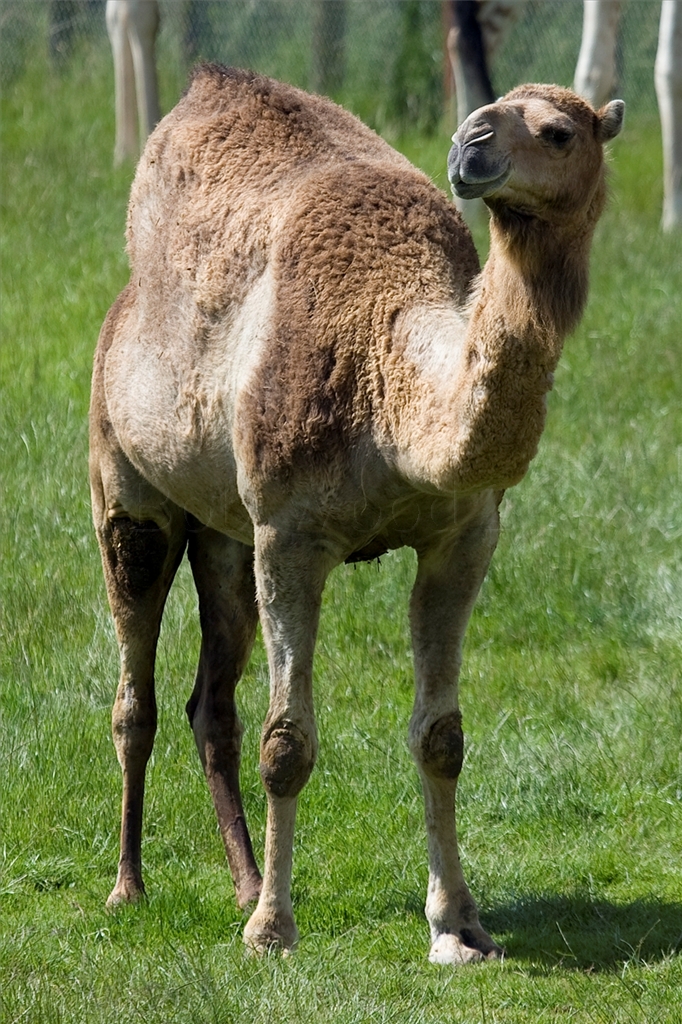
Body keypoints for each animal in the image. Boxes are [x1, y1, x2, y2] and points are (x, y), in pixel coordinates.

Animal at [90, 63, 623, 963]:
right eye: (490, 111)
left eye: (560, 131)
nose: (470, 143)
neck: (390, 384)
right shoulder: (290, 535)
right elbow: (287, 743)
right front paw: (272, 932)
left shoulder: (464, 535)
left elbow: (441, 736)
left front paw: (460, 924)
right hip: (126, 486)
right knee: (137, 693)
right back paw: (130, 889)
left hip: (224, 536)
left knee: (212, 704)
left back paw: (242, 883)